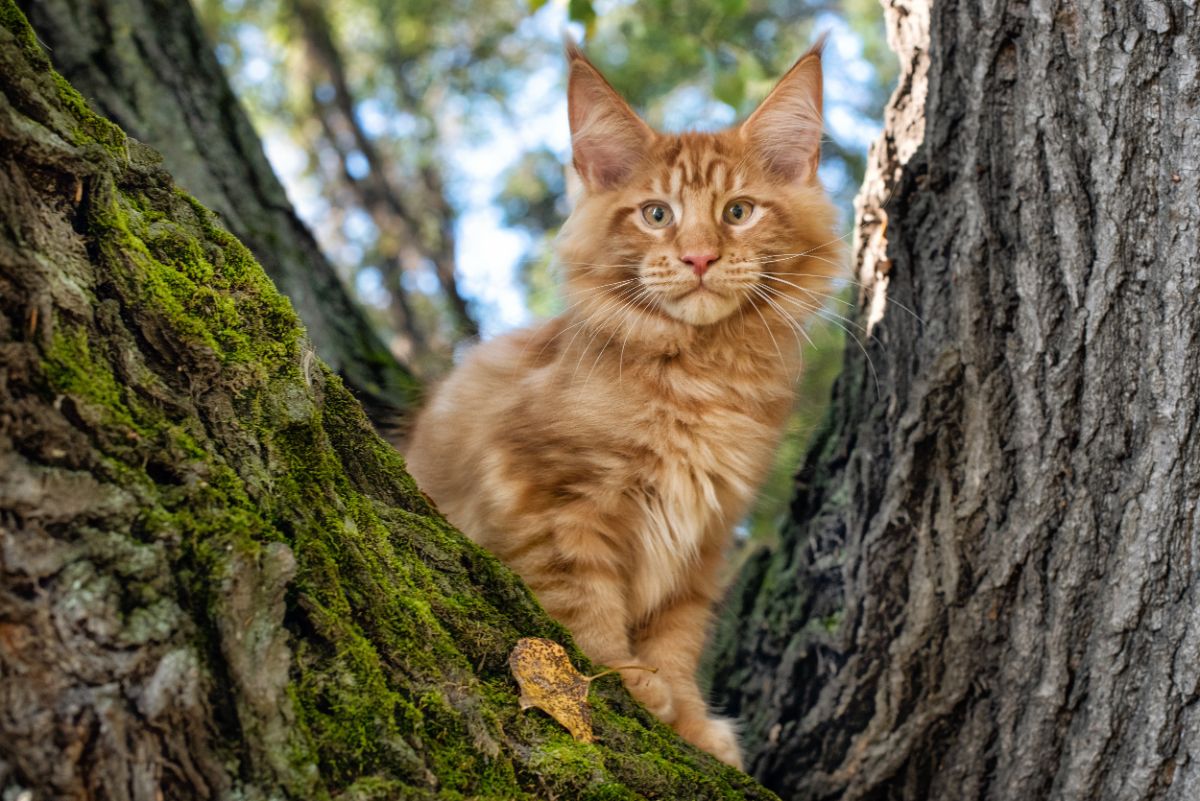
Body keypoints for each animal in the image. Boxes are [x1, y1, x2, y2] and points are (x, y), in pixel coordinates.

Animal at [408, 40, 840, 767]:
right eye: (657, 214)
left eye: (738, 212)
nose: (699, 258)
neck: (700, 377)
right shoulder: (547, 496)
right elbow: (582, 604)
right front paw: (626, 680)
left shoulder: (707, 536)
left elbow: (678, 633)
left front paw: (688, 717)